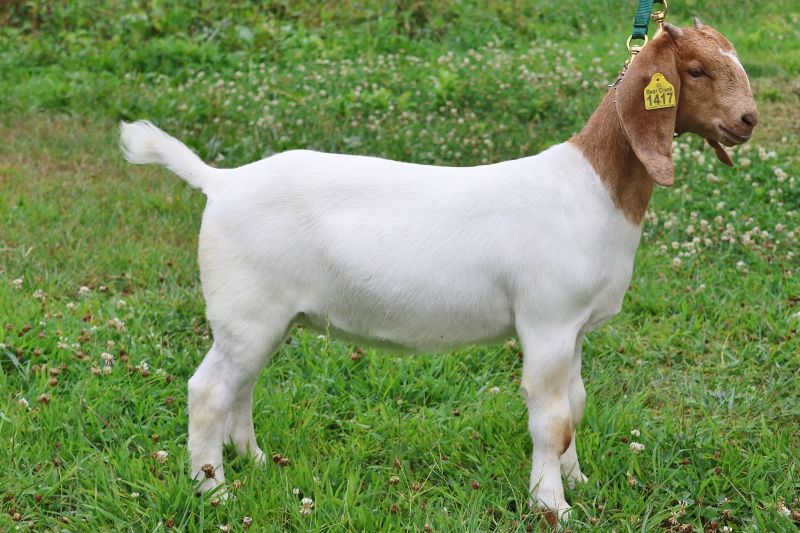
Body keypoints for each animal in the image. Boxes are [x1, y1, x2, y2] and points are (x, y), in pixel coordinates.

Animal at [120, 20, 756, 523]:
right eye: (696, 70)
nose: (749, 119)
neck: (590, 189)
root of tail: (220, 182)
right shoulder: (547, 324)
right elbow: (550, 418)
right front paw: (552, 505)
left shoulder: (574, 329)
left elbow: (574, 407)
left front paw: (577, 481)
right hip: (245, 311)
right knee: (208, 391)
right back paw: (214, 491)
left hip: (262, 319)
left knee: (241, 386)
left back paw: (252, 461)